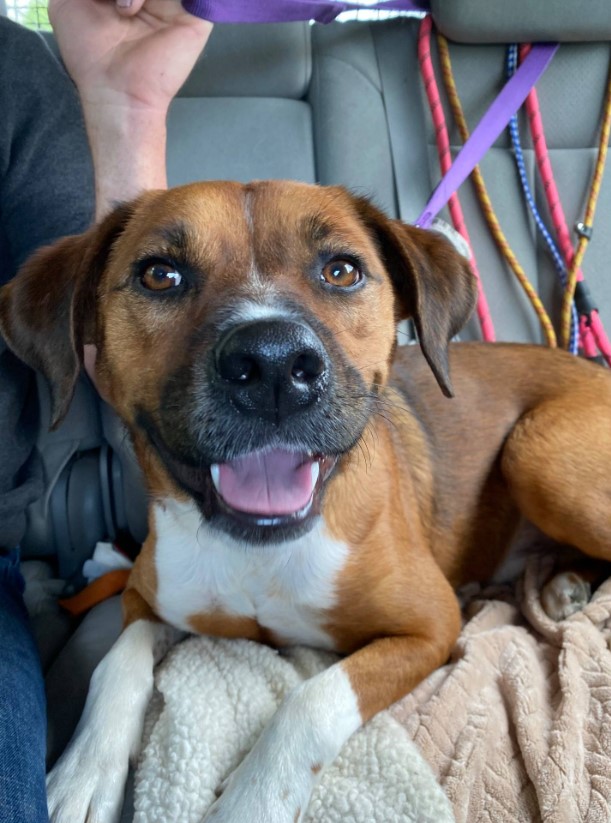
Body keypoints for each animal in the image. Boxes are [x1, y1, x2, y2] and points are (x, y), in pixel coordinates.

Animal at [1, 180, 611, 823]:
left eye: (341, 270)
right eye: (159, 275)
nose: (272, 363)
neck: (259, 550)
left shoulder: (430, 626)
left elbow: (314, 698)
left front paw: (253, 800)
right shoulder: (147, 598)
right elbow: (116, 661)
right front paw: (86, 769)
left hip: (536, 454)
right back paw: (565, 585)